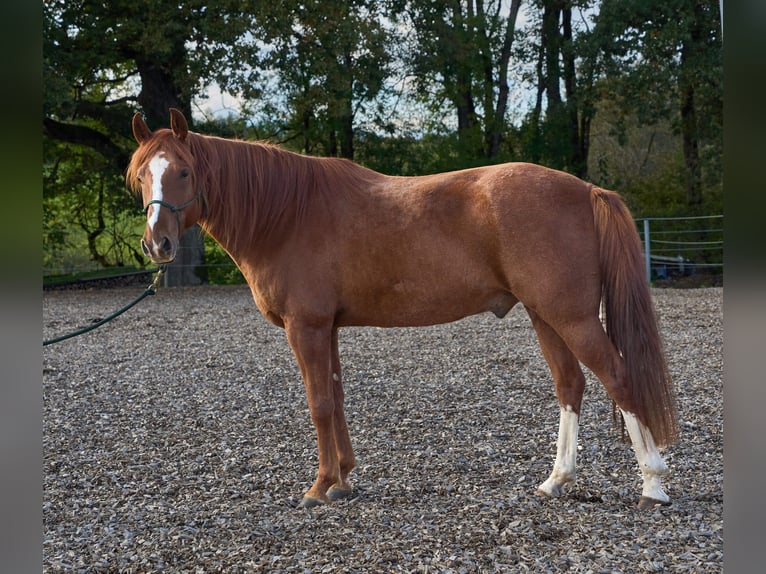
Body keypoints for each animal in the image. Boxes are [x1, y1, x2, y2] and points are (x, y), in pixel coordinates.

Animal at [129, 110, 680, 510]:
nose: (158, 244)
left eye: (183, 171)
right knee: (571, 385)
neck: (287, 214)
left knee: (619, 377)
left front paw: (319, 487)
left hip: (573, 318)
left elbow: (319, 403)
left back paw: (652, 485)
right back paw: (556, 480)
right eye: (141, 176)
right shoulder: (328, 327)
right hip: (546, 315)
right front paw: (344, 480)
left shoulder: (306, 327)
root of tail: (586, 190)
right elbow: (337, 397)